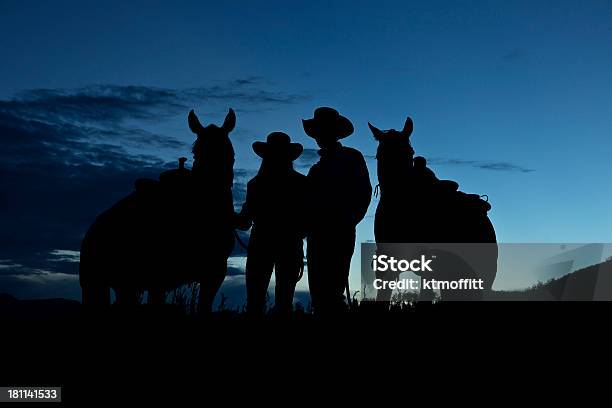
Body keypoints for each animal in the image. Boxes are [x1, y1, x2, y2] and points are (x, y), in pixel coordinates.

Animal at [79, 110, 237, 310]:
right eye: (196, 153)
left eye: (228, 151)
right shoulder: (159, 278)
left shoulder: (214, 272)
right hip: (96, 284)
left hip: (123, 286)